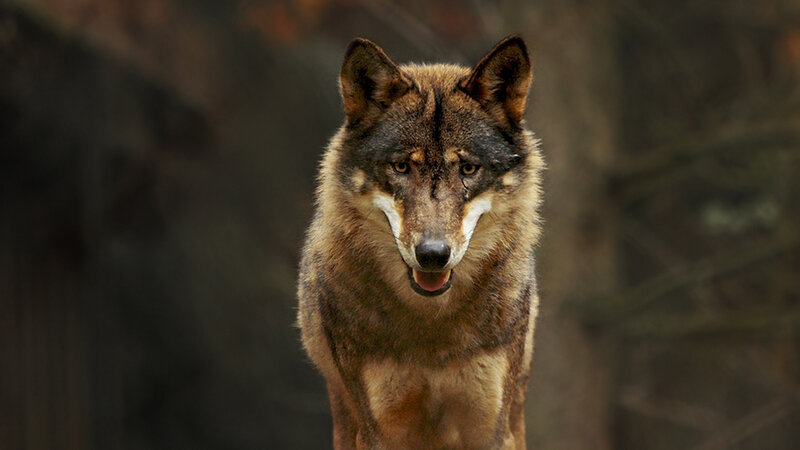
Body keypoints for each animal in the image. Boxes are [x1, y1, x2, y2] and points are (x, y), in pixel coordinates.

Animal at [297, 35, 543, 449]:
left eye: (468, 169)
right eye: (401, 167)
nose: (432, 255)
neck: (433, 331)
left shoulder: (489, 428)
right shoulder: (379, 430)